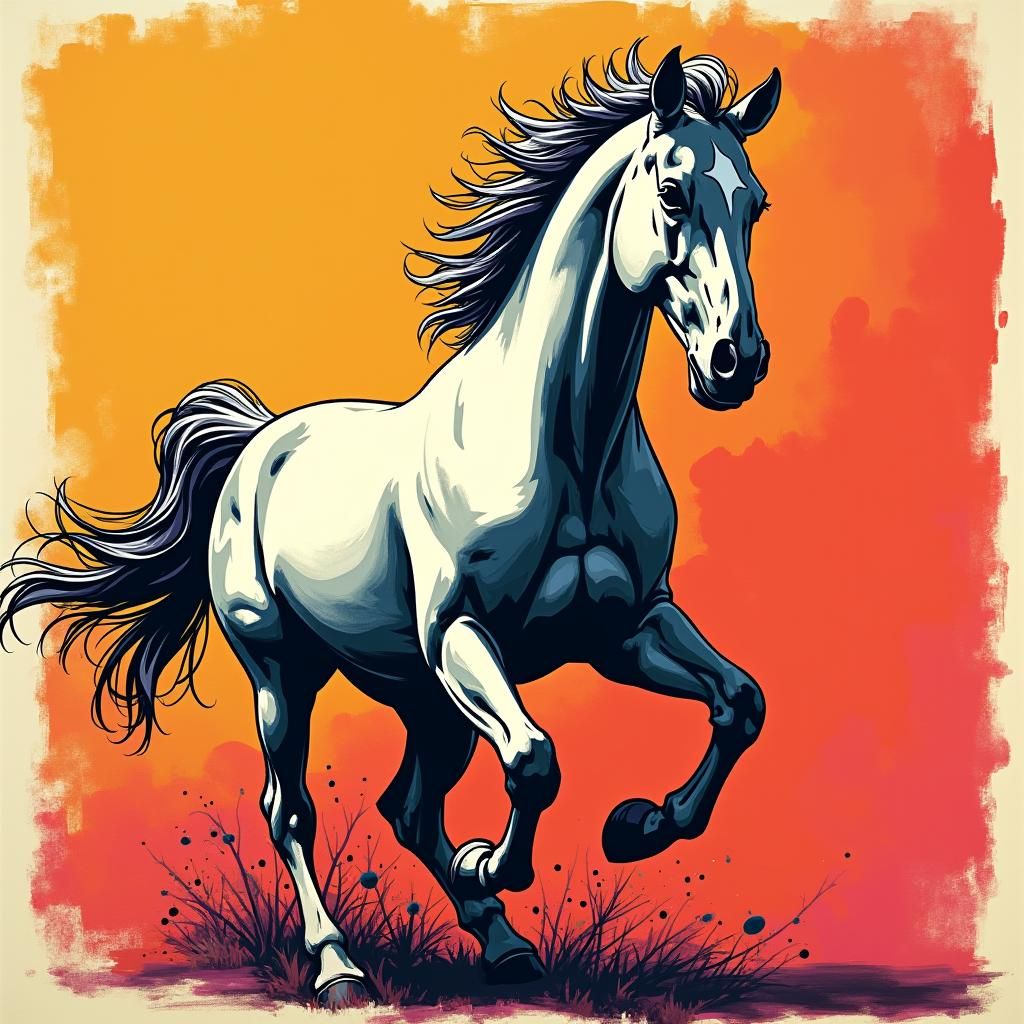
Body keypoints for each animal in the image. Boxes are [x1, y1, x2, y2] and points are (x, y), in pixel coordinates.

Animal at [0, 42, 780, 1005]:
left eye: (756, 202)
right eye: (672, 193)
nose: (736, 362)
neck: (567, 443)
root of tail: (258, 440)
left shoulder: (628, 627)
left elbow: (740, 703)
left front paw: (636, 825)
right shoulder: (461, 634)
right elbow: (535, 758)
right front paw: (497, 861)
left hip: (423, 699)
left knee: (407, 810)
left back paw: (505, 945)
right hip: (285, 672)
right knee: (291, 810)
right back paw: (341, 965)